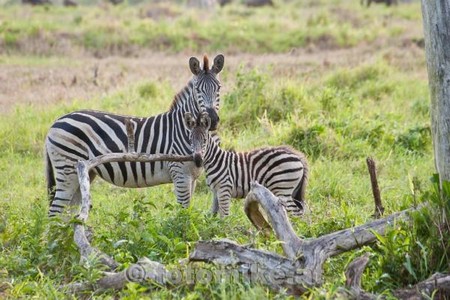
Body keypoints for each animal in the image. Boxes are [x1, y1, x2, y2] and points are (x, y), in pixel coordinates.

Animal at [45, 54, 225, 216]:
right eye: (197, 89)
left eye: (219, 88)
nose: (212, 120)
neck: (184, 128)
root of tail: (55, 123)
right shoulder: (180, 174)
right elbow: (184, 212)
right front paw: (183, 230)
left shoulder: (192, 177)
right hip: (67, 169)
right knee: (55, 212)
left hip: (83, 173)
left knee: (69, 212)